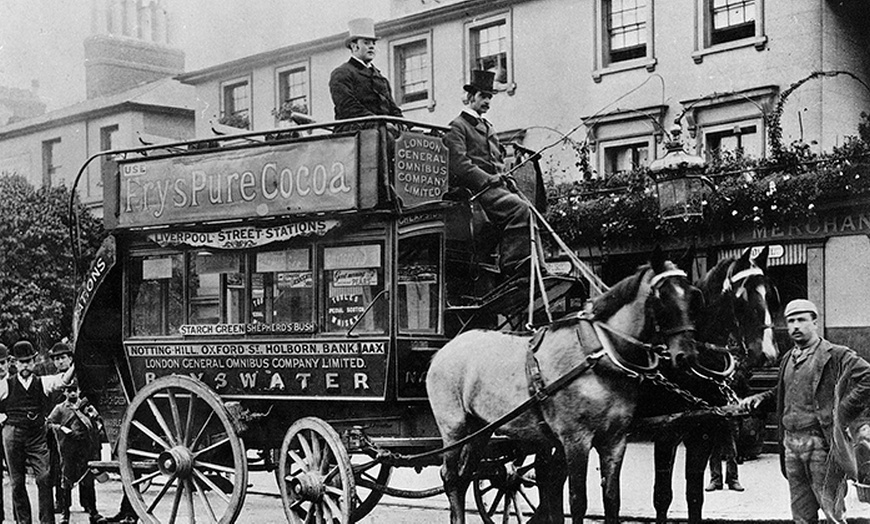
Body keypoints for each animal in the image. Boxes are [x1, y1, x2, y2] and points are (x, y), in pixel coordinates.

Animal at [428, 251, 700, 524]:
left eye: (692, 295)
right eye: (662, 297)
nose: (685, 356)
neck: (596, 354)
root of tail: (444, 350)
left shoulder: (615, 440)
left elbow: (612, 499)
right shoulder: (576, 440)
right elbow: (577, 501)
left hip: (480, 429)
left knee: (464, 477)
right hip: (454, 429)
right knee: (450, 478)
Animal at [648, 247, 784, 524]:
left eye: (773, 295)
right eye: (742, 299)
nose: (768, 354)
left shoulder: (703, 433)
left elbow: (694, 496)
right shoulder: (665, 432)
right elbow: (662, 496)